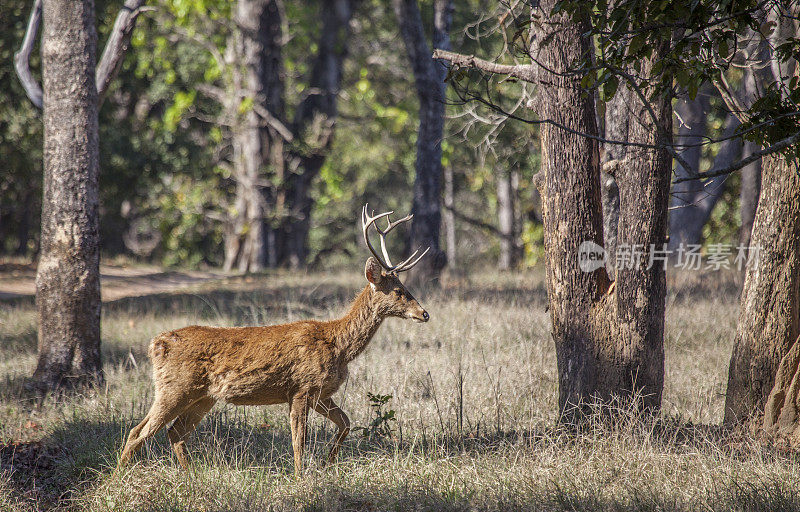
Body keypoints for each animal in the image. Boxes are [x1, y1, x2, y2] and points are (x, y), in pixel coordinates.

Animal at [114, 204, 432, 476]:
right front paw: (302, 478)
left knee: (175, 433)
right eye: (399, 291)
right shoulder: (301, 388)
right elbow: (299, 441)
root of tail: (155, 344)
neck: (339, 346)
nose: (424, 313)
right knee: (138, 431)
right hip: (175, 387)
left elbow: (346, 424)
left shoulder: (320, 393)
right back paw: (118, 478)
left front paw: (327, 465)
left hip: (203, 396)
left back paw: (191, 476)